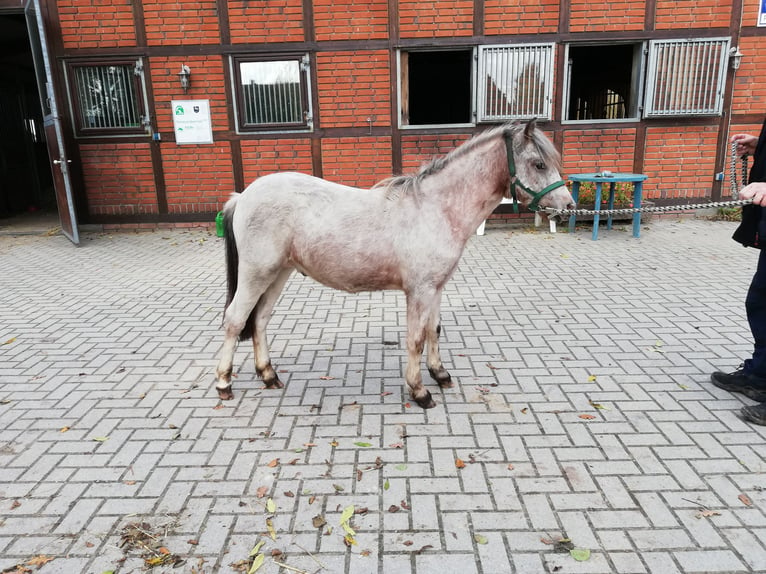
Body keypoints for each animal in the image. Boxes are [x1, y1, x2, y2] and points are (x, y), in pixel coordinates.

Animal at [216, 119, 576, 410]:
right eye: (539, 163)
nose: (568, 207)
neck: (436, 207)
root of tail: (243, 196)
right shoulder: (419, 291)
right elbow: (415, 338)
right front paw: (419, 392)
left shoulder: (436, 288)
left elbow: (433, 330)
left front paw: (440, 374)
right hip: (256, 274)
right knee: (235, 320)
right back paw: (224, 383)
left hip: (278, 273)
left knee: (260, 320)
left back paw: (268, 375)